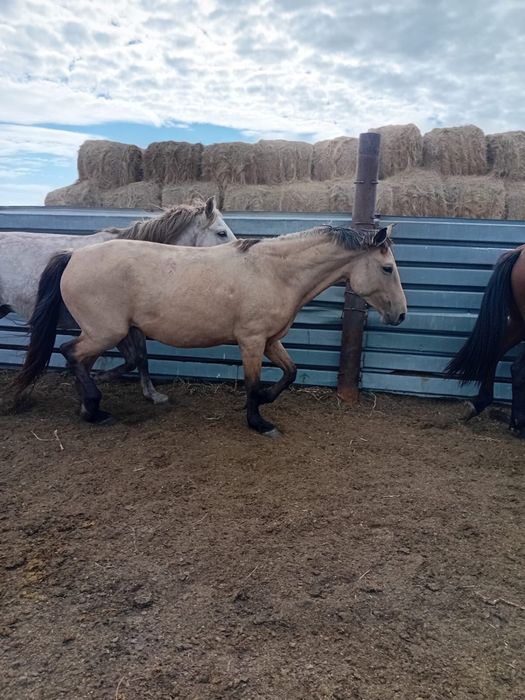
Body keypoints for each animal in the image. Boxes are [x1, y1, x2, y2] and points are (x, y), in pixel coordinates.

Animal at [1, 197, 236, 404]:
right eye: (221, 232)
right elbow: (129, 358)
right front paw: (93, 384)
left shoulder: (132, 325)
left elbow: (140, 357)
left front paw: (152, 394)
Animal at [14, 224, 406, 436]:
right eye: (387, 268)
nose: (401, 315)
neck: (274, 272)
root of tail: (73, 256)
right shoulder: (251, 341)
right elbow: (252, 384)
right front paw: (259, 422)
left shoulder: (270, 340)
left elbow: (291, 373)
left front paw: (266, 403)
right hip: (104, 332)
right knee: (70, 354)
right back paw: (95, 410)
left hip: (108, 332)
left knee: (83, 358)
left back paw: (91, 404)